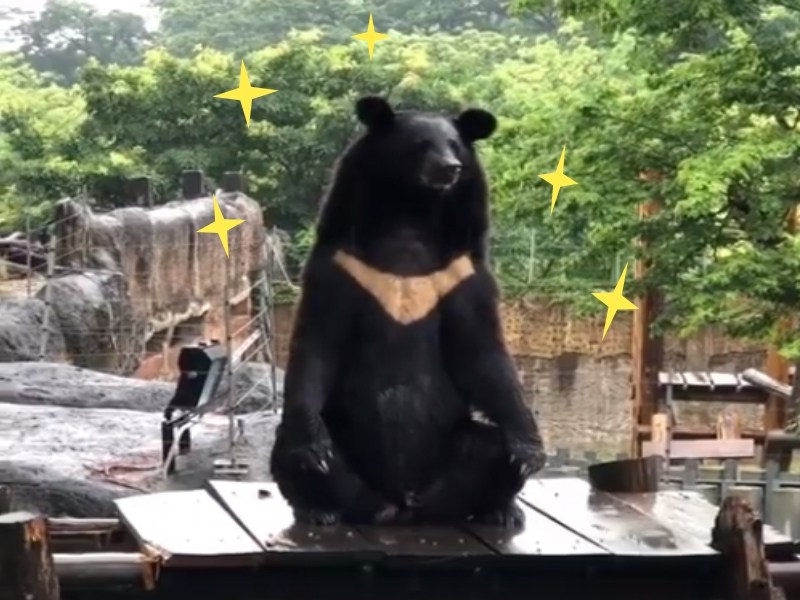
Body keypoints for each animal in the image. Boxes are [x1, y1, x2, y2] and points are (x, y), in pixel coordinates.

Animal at [269, 95, 546, 529]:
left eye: (455, 144)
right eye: (421, 144)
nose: (450, 168)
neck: (411, 215)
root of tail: (404, 503)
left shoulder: (462, 272)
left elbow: (483, 352)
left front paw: (530, 450)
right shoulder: (340, 265)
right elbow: (318, 342)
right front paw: (311, 451)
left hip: (453, 451)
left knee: (490, 448)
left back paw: (499, 507)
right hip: (350, 446)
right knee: (291, 455)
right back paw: (320, 507)